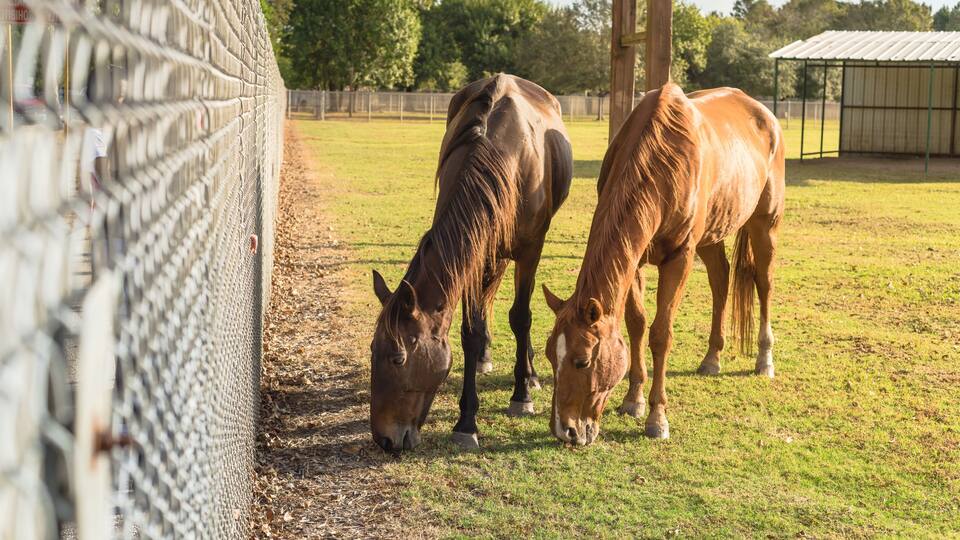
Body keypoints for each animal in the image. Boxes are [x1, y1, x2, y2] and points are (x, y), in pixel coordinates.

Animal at [369, 74, 573, 452]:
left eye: (399, 358)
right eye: (373, 349)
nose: (385, 439)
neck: (504, 154)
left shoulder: (530, 250)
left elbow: (521, 317)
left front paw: (520, 395)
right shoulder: (473, 256)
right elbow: (470, 332)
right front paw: (467, 421)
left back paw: (530, 374)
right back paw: (486, 359)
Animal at [542, 83, 785, 446]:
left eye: (582, 361)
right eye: (548, 355)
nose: (565, 430)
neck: (664, 160)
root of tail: (764, 114)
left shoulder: (679, 258)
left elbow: (660, 334)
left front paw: (657, 417)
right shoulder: (635, 260)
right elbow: (637, 324)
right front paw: (634, 399)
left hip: (763, 224)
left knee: (764, 283)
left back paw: (764, 359)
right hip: (711, 235)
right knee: (720, 280)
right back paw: (712, 358)